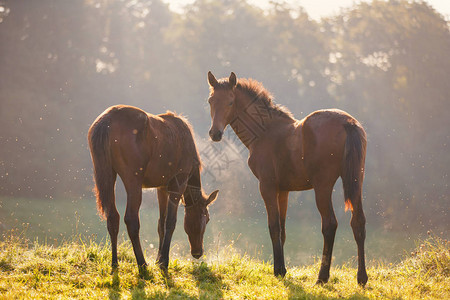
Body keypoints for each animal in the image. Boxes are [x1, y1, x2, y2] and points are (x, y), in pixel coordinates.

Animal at [87, 104, 218, 274]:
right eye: (206, 218)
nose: (197, 252)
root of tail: (106, 122)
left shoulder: (161, 187)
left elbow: (160, 223)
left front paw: (158, 258)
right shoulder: (178, 183)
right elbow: (170, 222)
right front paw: (164, 261)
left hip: (107, 174)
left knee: (112, 217)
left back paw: (114, 263)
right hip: (133, 178)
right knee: (131, 219)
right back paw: (142, 264)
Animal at [206, 71, 368, 284]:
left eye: (231, 102)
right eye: (210, 101)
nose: (215, 134)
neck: (264, 131)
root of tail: (348, 122)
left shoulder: (267, 186)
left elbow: (274, 226)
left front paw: (278, 270)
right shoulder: (283, 190)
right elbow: (282, 230)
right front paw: (282, 269)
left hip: (323, 186)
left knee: (330, 224)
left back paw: (322, 277)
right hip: (356, 181)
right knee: (358, 222)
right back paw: (362, 277)